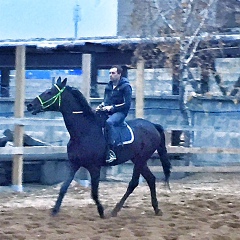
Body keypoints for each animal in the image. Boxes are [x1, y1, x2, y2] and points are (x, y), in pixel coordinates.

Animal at [27, 77, 171, 218]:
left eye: (49, 92)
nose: (30, 105)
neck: (84, 132)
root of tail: (153, 125)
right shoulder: (74, 164)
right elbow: (63, 188)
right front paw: (54, 211)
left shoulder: (94, 167)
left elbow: (94, 193)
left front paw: (101, 211)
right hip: (138, 160)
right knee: (151, 179)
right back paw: (156, 209)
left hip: (141, 159)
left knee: (133, 183)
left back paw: (115, 210)